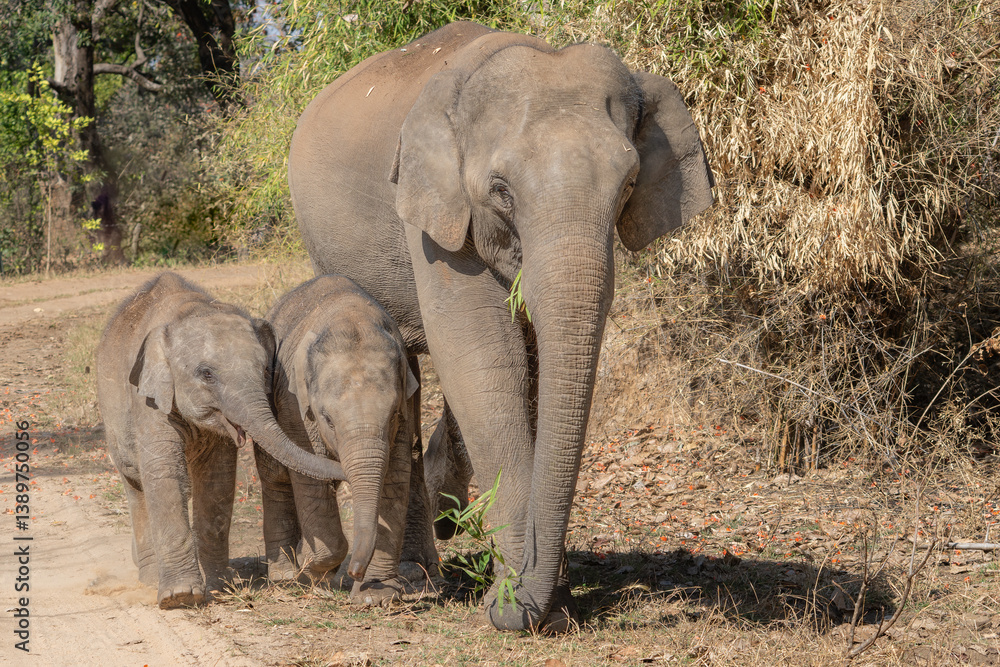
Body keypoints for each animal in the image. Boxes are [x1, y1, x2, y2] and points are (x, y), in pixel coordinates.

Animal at [95, 272, 345, 609]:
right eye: (206, 374)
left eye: (265, 369)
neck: (189, 311)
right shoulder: (147, 400)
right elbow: (165, 475)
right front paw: (180, 597)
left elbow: (217, 481)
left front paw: (220, 587)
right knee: (135, 482)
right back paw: (148, 578)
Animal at [257, 274, 425, 605]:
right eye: (328, 420)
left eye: (392, 417)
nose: (354, 573)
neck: (352, 316)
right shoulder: (293, 405)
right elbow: (308, 477)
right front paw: (313, 569)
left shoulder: (408, 404)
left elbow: (397, 475)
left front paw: (376, 594)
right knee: (276, 480)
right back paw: (285, 576)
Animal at [287, 21, 714, 631]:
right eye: (501, 190)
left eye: (630, 184)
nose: (526, 605)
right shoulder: (436, 216)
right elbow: (485, 361)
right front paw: (516, 605)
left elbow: (532, 369)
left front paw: (546, 605)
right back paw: (408, 580)